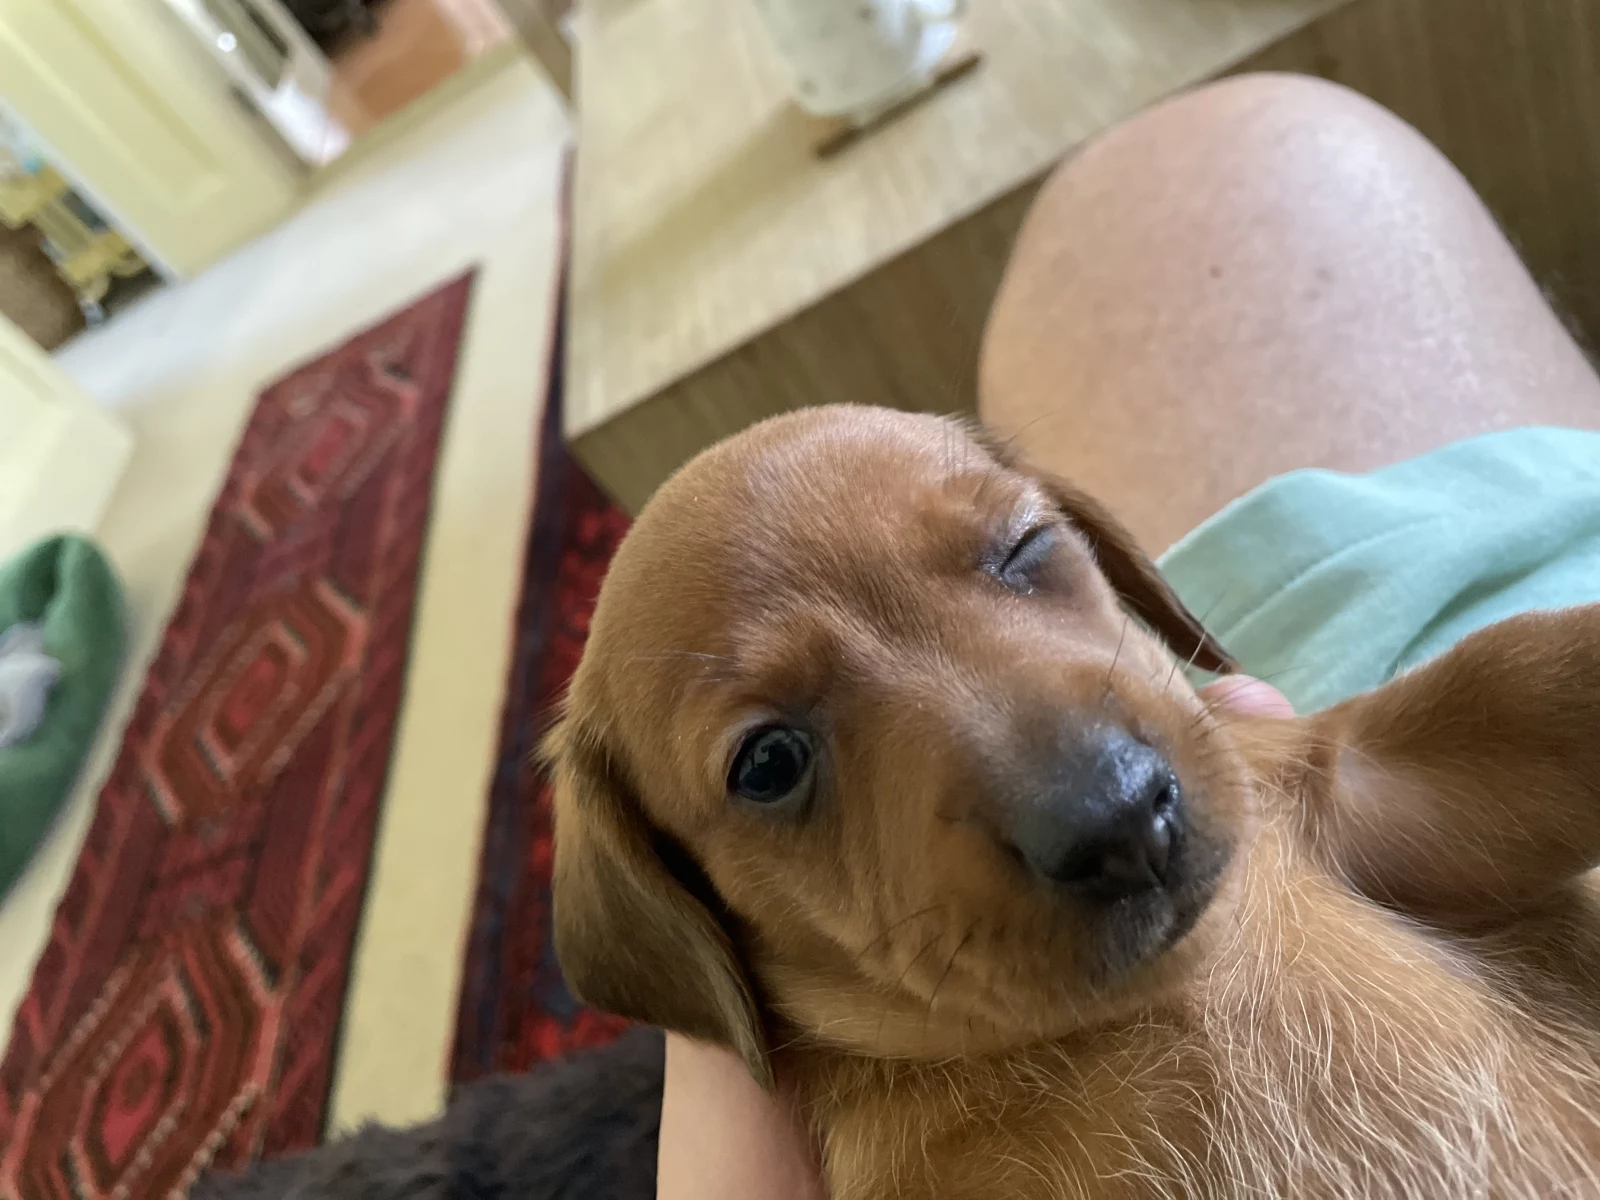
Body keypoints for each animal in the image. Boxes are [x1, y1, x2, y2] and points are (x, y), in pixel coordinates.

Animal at [549, 405, 1600, 1198]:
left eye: (1024, 547)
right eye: (768, 763)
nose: (1123, 821)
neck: (1167, 993)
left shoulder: (1367, 777)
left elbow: (1525, 673)